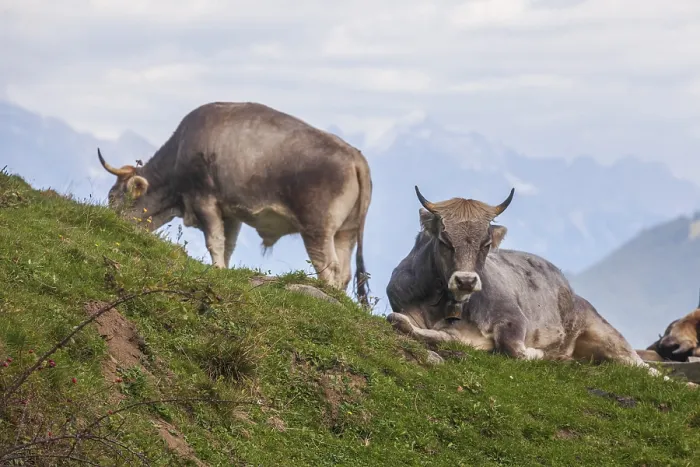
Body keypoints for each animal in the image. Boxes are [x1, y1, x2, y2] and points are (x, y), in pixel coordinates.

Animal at [97, 102, 372, 305]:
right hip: (345, 233)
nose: (109, 224)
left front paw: (217, 270)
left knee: (329, 268)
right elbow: (228, 245)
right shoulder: (231, 213)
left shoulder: (204, 200)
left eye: (113, 197)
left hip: (317, 230)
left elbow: (214, 242)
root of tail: (354, 155)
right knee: (345, 272)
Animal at [385, 186, 665, 379]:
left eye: (486, 244)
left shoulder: (513, 318)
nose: (466, 281)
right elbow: (407, 324)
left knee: (643, 366)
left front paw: (537, 353)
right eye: (445, 241)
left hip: (601, 328)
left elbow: (514, 349)